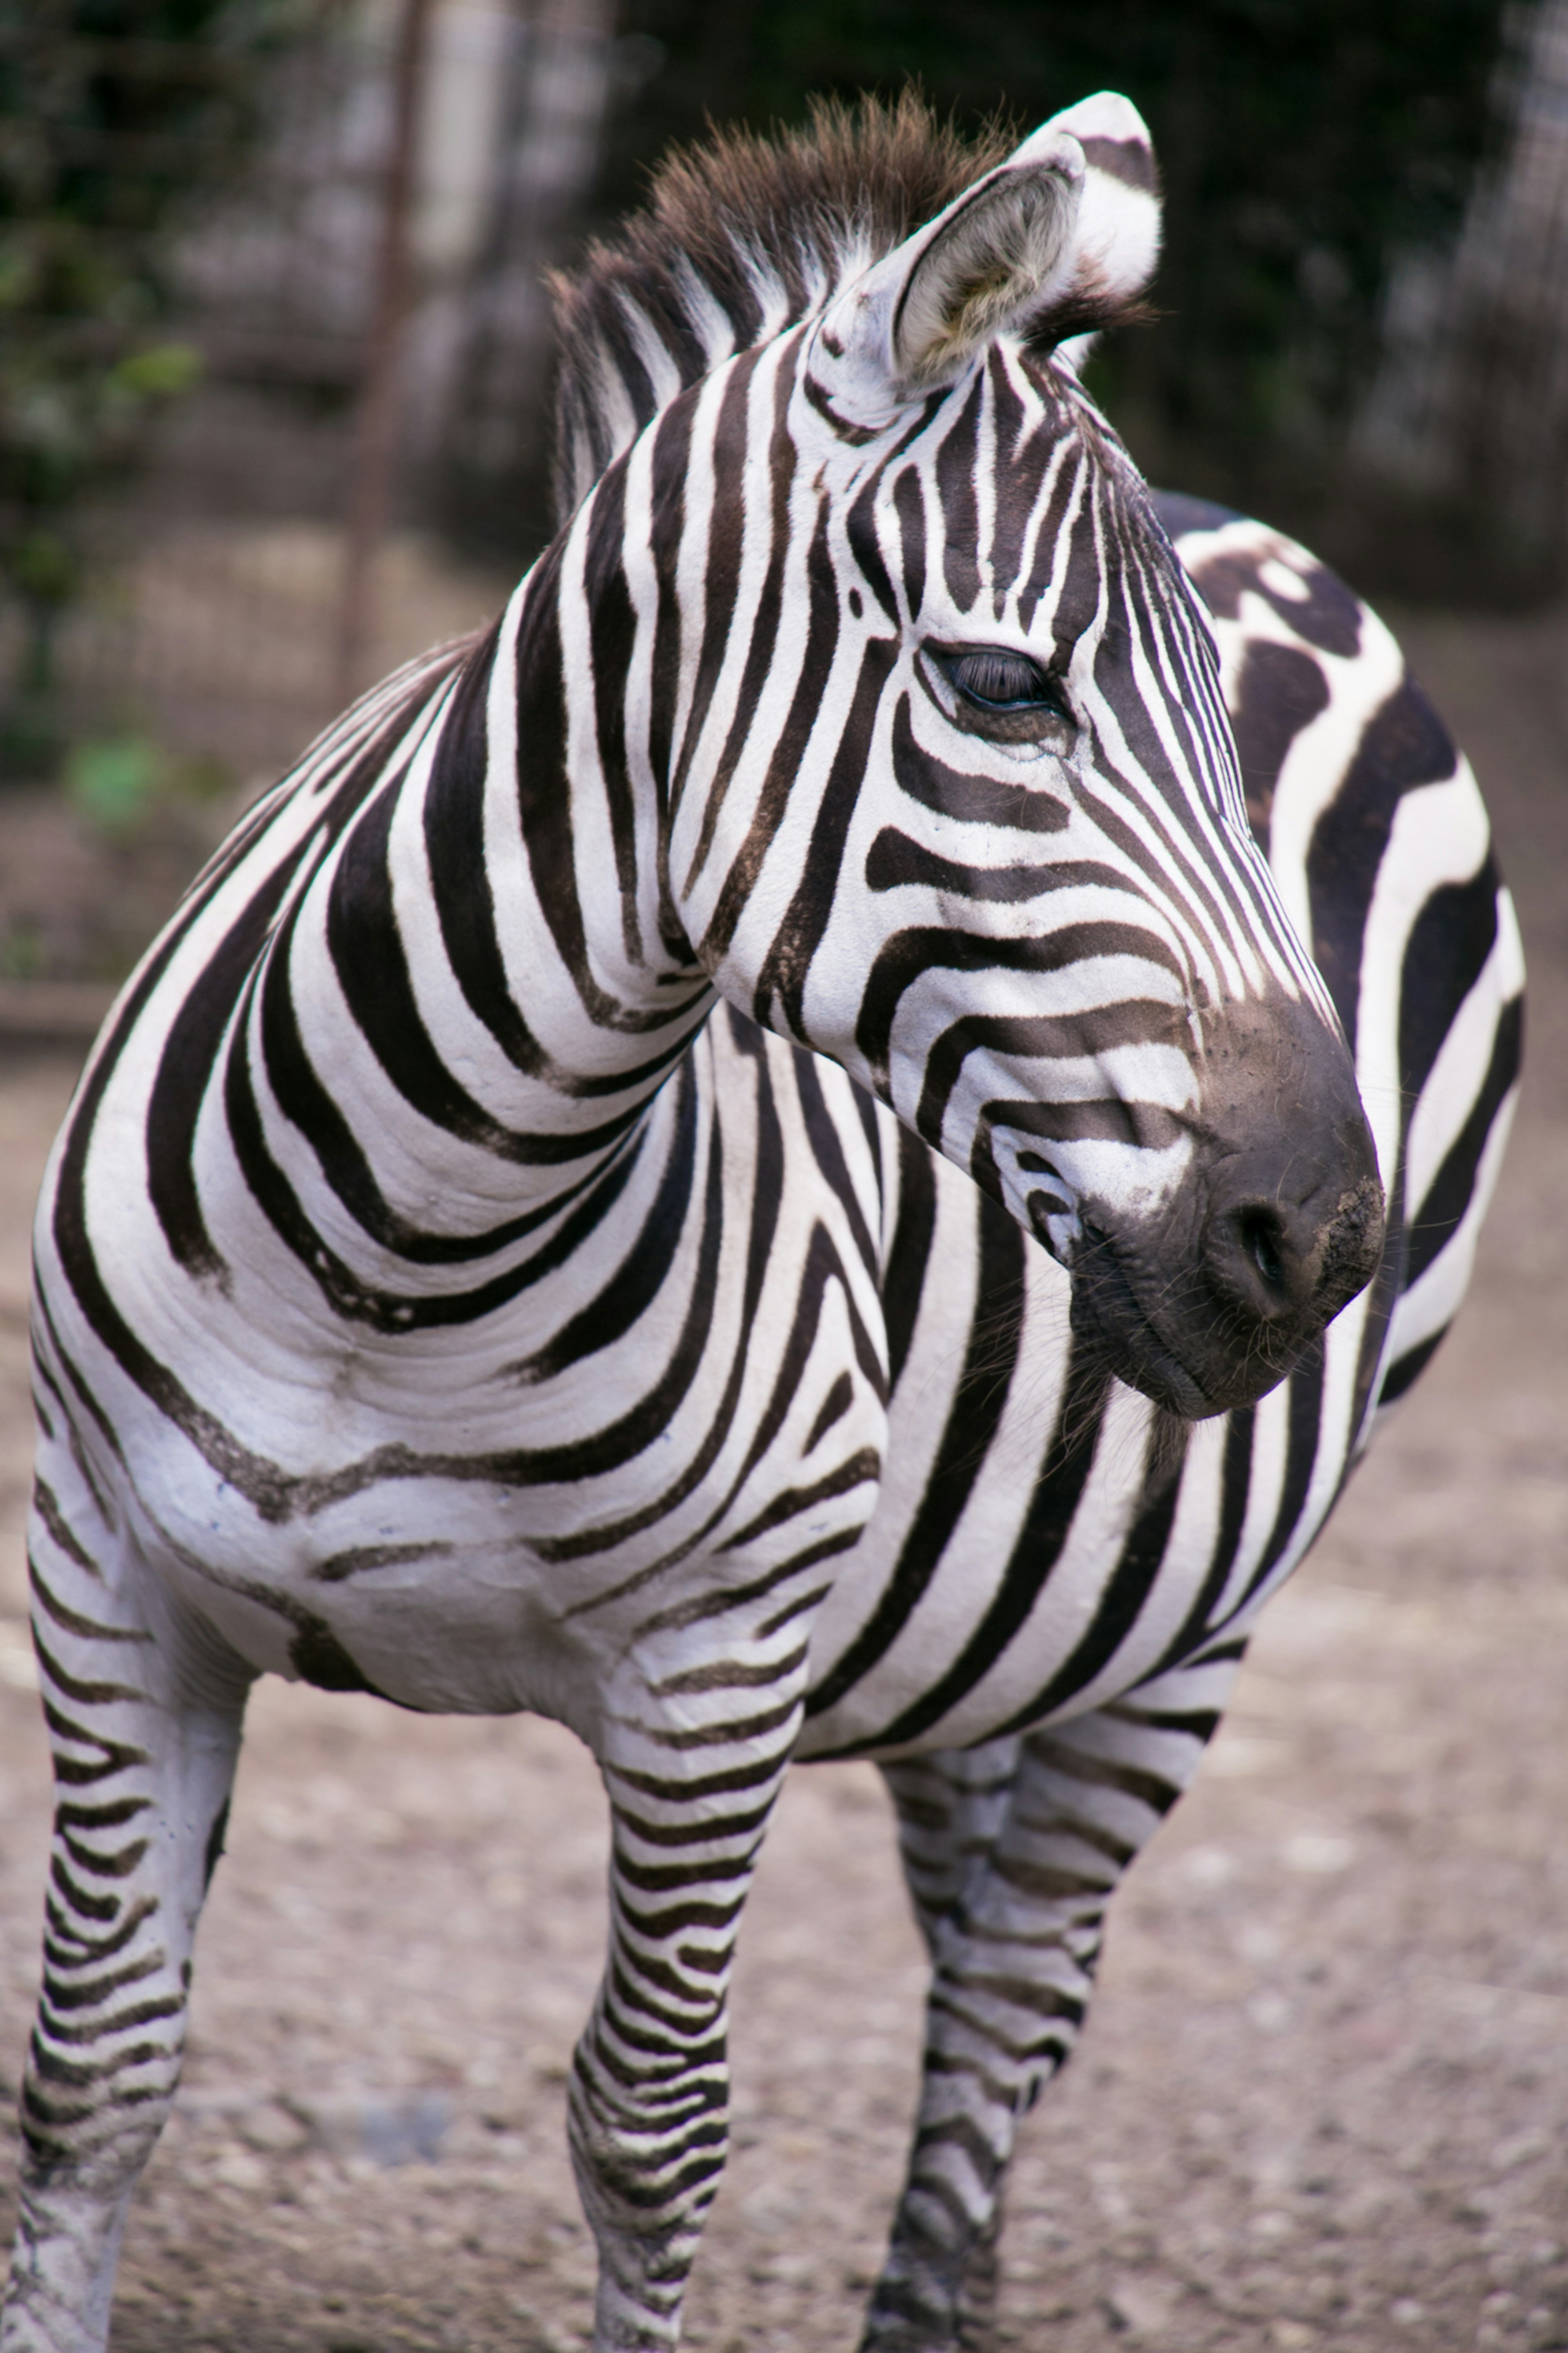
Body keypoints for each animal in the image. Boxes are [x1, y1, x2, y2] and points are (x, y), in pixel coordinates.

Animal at [0, 96, 1523, 2353]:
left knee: (1013, 1993)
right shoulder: (108, 1572)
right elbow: (93, 2070)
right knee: (975, 1925)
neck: (399, 1247)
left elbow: (651, 2133)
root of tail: (1265, 526)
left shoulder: (715, 1677)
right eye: (998, 690)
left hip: (1199, 1616)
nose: (1325, 1237)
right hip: (1000, 1589)